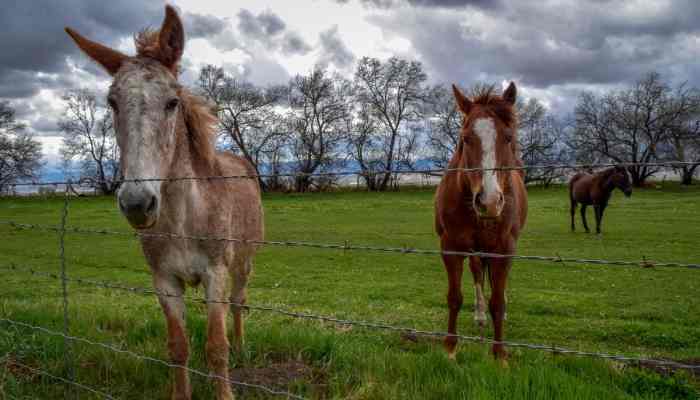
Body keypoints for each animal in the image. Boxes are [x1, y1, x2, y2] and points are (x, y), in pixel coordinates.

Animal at [66, 7, 262, 400]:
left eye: (172, 102)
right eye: (112, 103)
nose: (137, 203)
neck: (183, 219)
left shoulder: (216, 274)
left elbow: (216, 348)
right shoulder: (165, 280)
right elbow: (178, 347)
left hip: (242, 264)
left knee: (238, 305)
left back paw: (242, 346)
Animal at [434, 84, 528, 362]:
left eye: (507, 137)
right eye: (466, 139)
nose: (489, 202)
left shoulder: (504, 249)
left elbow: (497, 300)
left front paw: (500, 355)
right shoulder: (451, 248)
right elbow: (454, 297)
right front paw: (450, 349)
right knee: (477, 272)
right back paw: (479, 314)